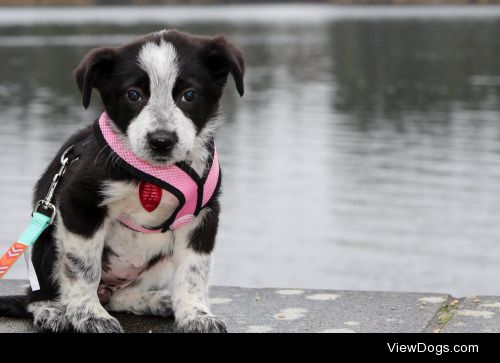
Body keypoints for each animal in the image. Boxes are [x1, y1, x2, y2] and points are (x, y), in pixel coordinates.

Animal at [0, 29, 243, 334]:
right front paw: (90, 316)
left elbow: (194, 271)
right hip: (47, 241)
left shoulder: (203, 216)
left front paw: (196, 315)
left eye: (189, 95)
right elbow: (84, 269)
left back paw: (157, 301)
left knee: (120, 296)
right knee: (36, 294)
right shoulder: (78, 203)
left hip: (160, 262)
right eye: (133, 95)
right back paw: (53, 311)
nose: (161, 141)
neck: (156, 173)